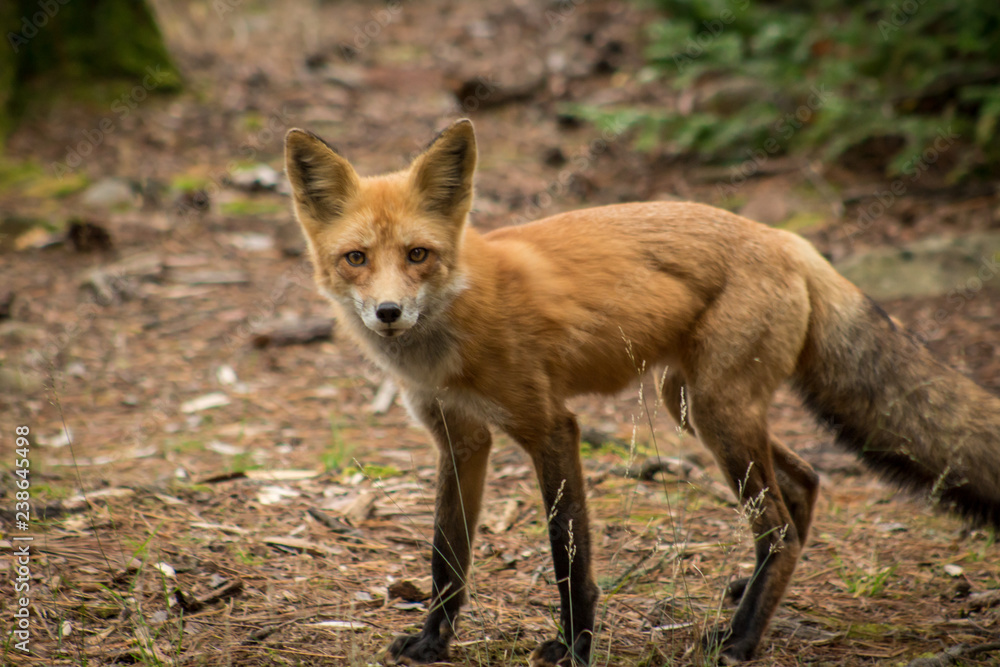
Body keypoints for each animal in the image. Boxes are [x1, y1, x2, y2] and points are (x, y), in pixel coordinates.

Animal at [284, 119, 1000, 665]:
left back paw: (740, 639)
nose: (388, 313)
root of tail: (784, 237)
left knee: (778, 524)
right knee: (803, 486)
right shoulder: (460, 440)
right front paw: (434, 642)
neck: (451, 331)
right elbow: (446, 558)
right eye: (356, 259)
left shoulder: (550, 427)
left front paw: (575, 648)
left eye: (418, 255)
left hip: (715, 413)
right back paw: (748, 597)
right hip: (689, 405)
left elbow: (570, 558)